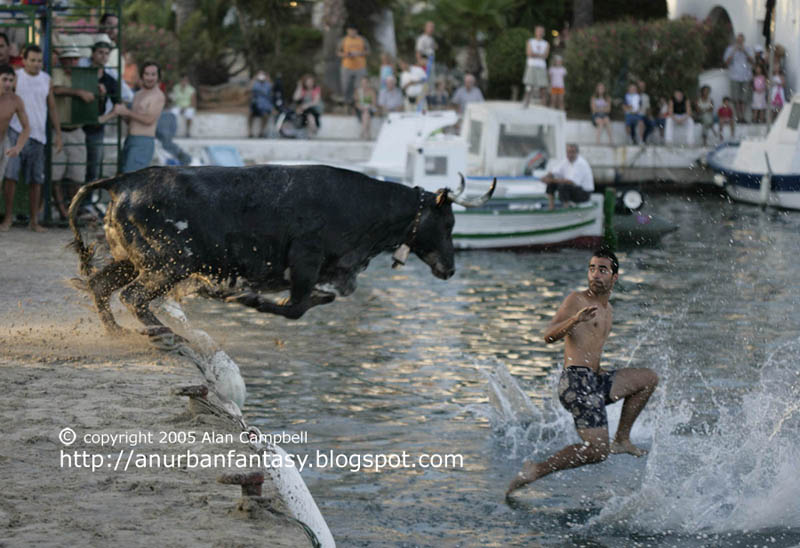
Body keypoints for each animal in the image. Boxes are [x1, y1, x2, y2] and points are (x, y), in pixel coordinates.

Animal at [69, 164, 494, 338]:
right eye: (448, 223)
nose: (450, 269)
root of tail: (124, 180)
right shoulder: (305, 261)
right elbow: (295, 307)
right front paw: (245, 298)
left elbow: (317, 300)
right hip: (171, 263)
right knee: (134, 296)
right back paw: (165, 331)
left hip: (130, 260)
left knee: (100, 285)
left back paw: (116, 332)